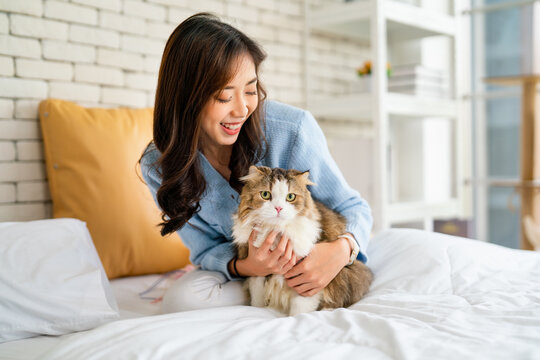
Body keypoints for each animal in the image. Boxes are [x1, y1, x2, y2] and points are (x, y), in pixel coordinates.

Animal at [230, 166, 374, 316]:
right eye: (265, 194)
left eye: (290, 197)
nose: (278, 208)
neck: (276, 231)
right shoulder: (256, 270)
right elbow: (257, 300)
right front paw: (258, 309)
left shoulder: (306, 280)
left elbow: (299, 310)